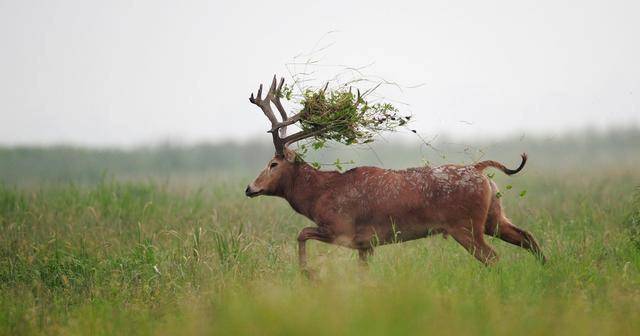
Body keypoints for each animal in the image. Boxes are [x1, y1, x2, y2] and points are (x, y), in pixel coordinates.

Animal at [245, 75, 544, 270]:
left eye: (273, 164)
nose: (250, 188)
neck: (319, 195)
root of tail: (479, 170)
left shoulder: (341, 229)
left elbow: (301, 233)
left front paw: (309, 275)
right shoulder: (366, 244)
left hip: (466, 225)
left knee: (494, 258)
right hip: (493, 217)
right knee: (527, 238)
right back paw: (546, 271)